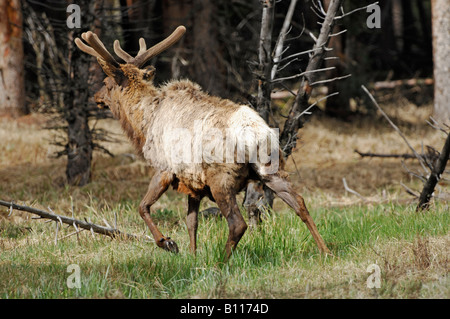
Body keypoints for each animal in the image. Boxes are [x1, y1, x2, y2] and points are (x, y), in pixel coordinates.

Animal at [74, 25, 330, 260]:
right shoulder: (192, 181)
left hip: (221, 179)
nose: (96, 97)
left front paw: (168, 243)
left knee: (238, 223)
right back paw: (326, 251)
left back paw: (221, 263)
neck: (143, 124)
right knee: (300, 204)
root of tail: (257, 136)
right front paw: (193, 256)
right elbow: (191, 222)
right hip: (271, 170)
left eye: (106, 82)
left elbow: (142, 207)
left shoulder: (164, 168)